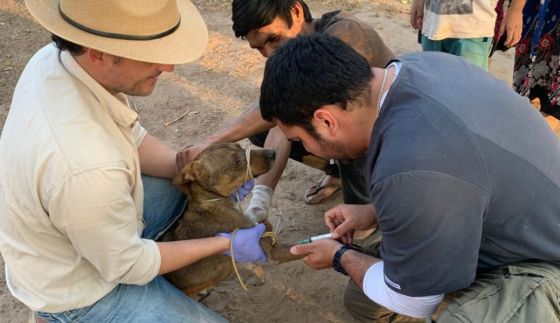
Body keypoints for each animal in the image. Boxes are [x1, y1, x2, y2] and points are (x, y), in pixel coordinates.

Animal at [161, 144, 300, 296]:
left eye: (240, 146)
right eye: (236, 162)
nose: (273, 153)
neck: (209, 200)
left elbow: (266, 225)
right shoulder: (270, 252)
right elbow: (296, 248)